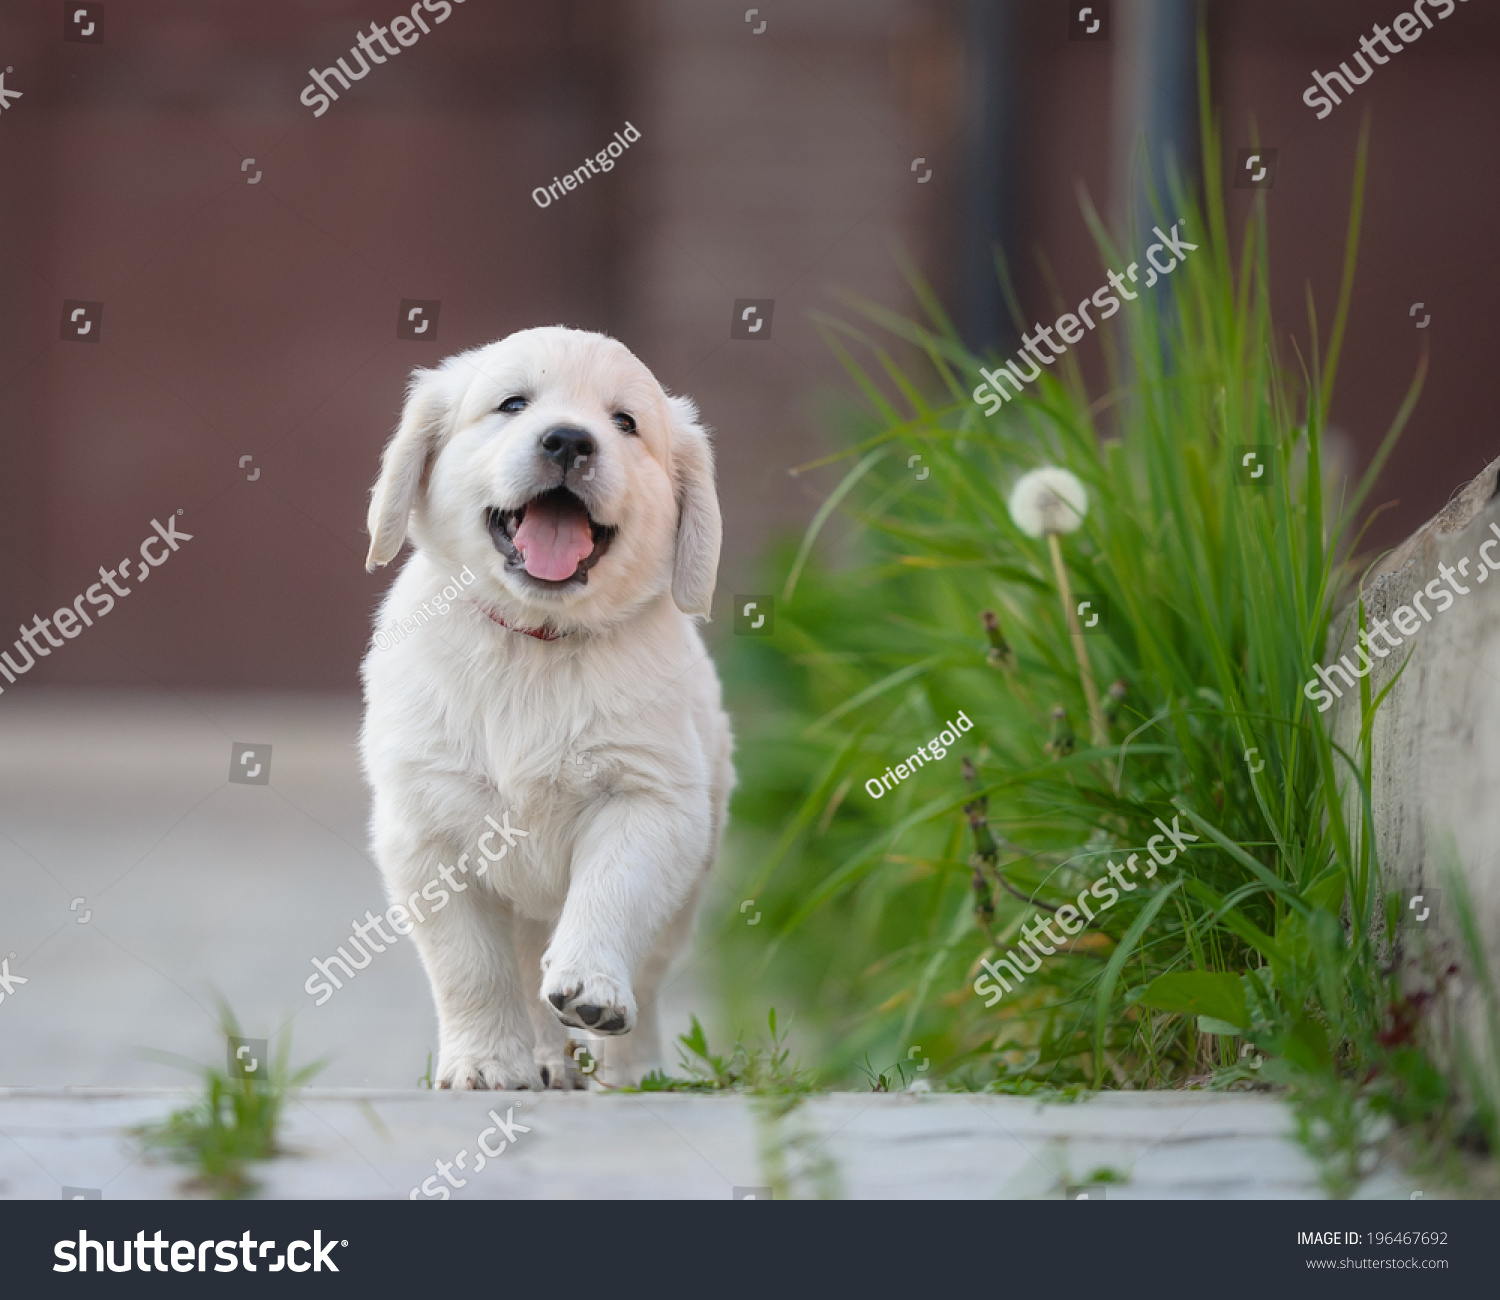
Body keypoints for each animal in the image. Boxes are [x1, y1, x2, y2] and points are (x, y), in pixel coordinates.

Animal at [363, 322, 738, 1085]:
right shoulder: (424, 830)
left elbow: (610, 896)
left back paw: (630, 1071)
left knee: (643, 974)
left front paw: (593, 988)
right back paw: (540, 1060)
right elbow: (469, 966)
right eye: (513, 404)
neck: (535, 641)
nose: (568, 440)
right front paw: (483, 1061)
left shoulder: (650, 801)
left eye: (625, 422)